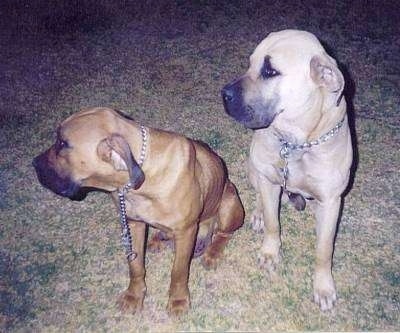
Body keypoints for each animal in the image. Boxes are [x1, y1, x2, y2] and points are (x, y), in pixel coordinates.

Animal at [32, 106, 244, 314]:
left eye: (62, 143)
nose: (34, 163)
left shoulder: (186, 232)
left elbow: (178, 272)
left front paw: (178, 301)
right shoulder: (133, 224)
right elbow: (135, 267)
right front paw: (134, 296)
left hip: (229, 202)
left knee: (223, 234)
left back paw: (212, 252)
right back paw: (159, 239)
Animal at [222, 29, 354, 310]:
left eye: (270, 71)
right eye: (250, 63)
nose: (223, 94)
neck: (297, 142)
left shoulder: (331, 201)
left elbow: (324, 250)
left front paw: (323, 286)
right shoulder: (270, 182)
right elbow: (273, 223)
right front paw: (270, 252)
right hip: (255, 168)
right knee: (259, 195)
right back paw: (259, 213)